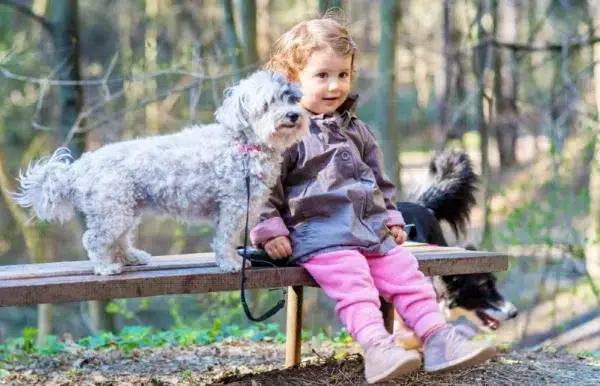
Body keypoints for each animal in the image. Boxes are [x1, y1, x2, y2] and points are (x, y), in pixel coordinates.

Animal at [12, 69, 310, 274]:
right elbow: (225, 238)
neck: (243, 143)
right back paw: (106, 268)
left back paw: (131, 257)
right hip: (113, 212)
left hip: (125, 210)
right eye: (268, 103)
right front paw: (231, 263)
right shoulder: (234, 206)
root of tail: (80, 168)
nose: (293, 115)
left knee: (119, 240)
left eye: (291, 98)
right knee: (95, 239)